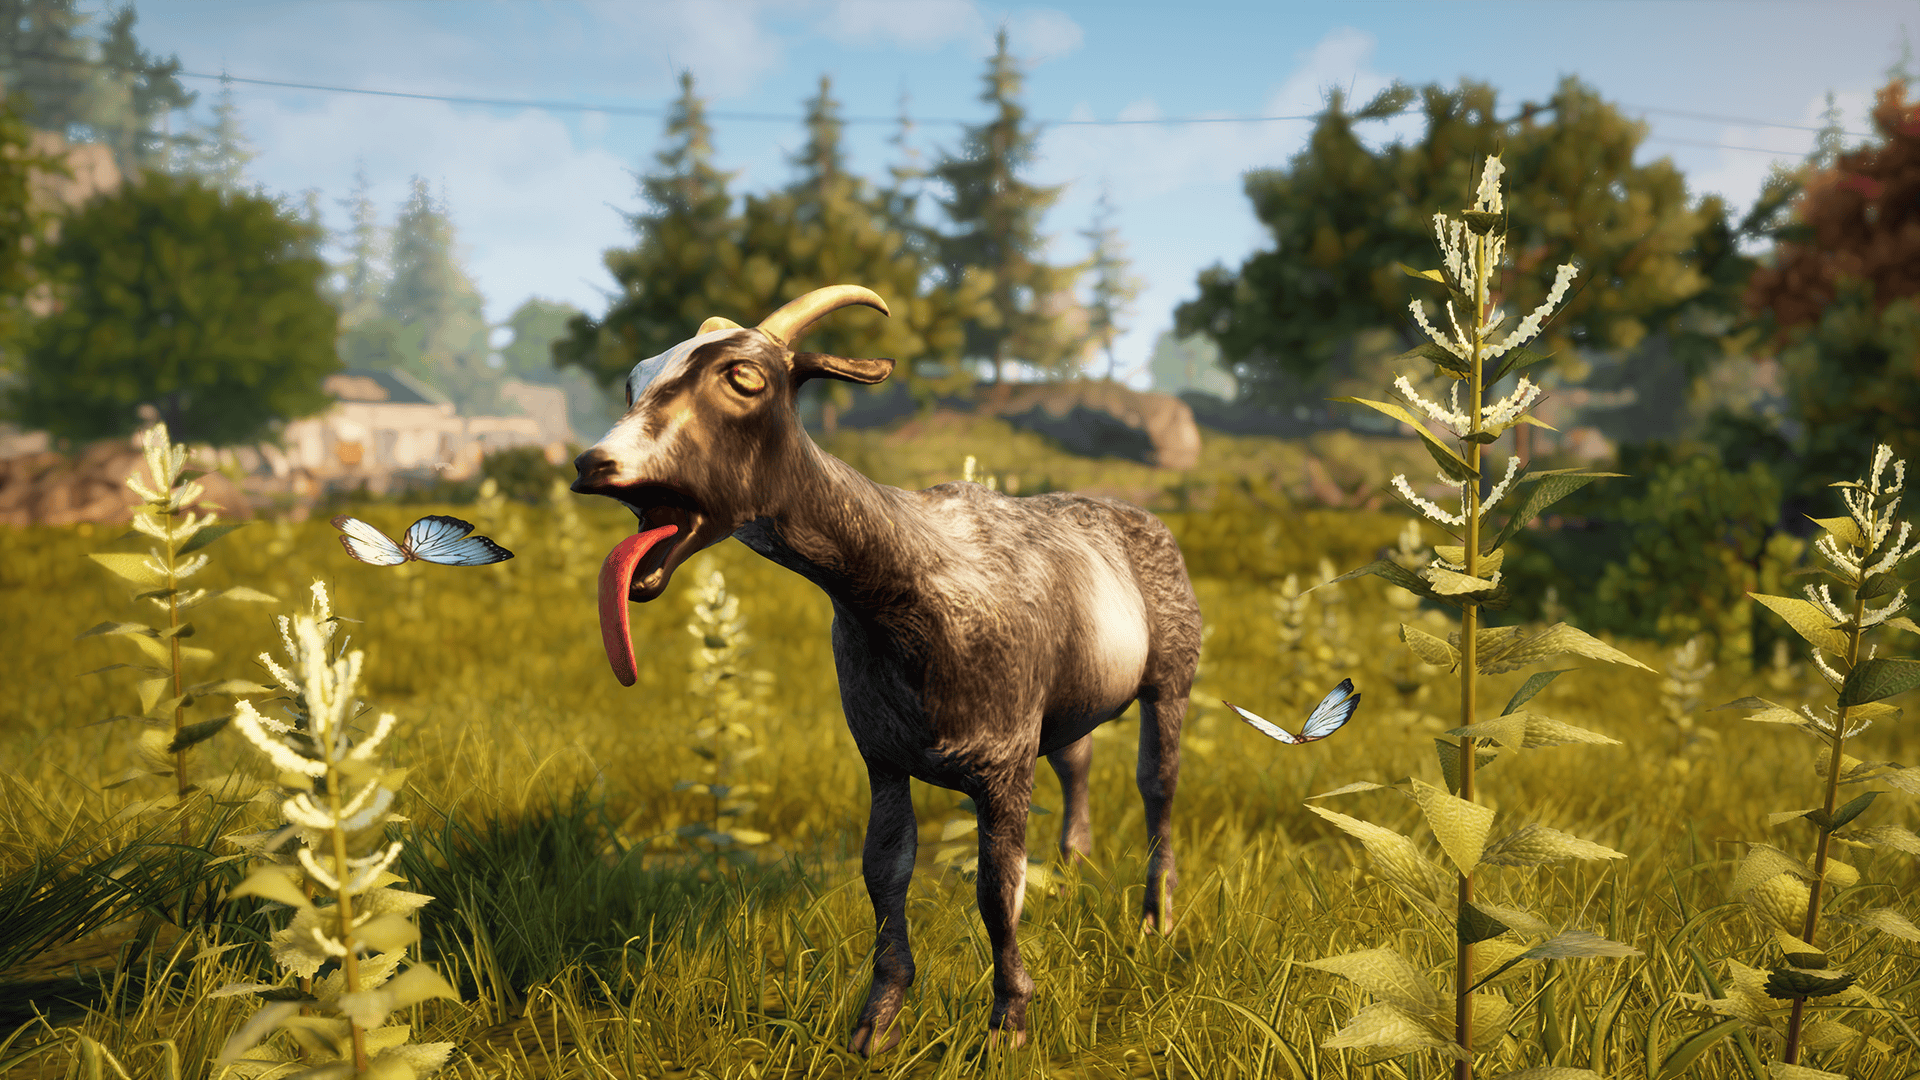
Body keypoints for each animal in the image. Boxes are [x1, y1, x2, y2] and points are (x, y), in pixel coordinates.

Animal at [571, 284, 1202, 1054]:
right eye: (636, 379)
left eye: (744, 377)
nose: (596, 465)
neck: (907, 590)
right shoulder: (884, 755)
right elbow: (885, 870)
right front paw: (878, 1020)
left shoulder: (1002, 763)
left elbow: (998, 887)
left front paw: (1009, 1020)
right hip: (1067, 701)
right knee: (1077, 763)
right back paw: (1077, 873)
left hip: (1171, 677)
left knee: (1158, 785)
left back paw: (1154, 917)